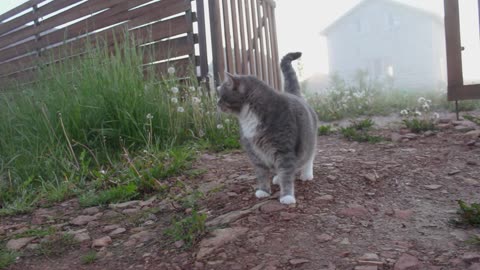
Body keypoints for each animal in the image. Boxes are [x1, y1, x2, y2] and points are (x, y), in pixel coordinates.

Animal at [217, 52, 316, 205]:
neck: (248, 116)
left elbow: (287, 174)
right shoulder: (255, 153)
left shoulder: (284, 151)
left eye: (221, 95)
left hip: (309, 141)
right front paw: (263, 191)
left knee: (309, 157)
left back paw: (306, 174)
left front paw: (287, 196)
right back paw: (277, 178)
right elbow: (262, 174)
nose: (217, 103)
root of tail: (294, 95)